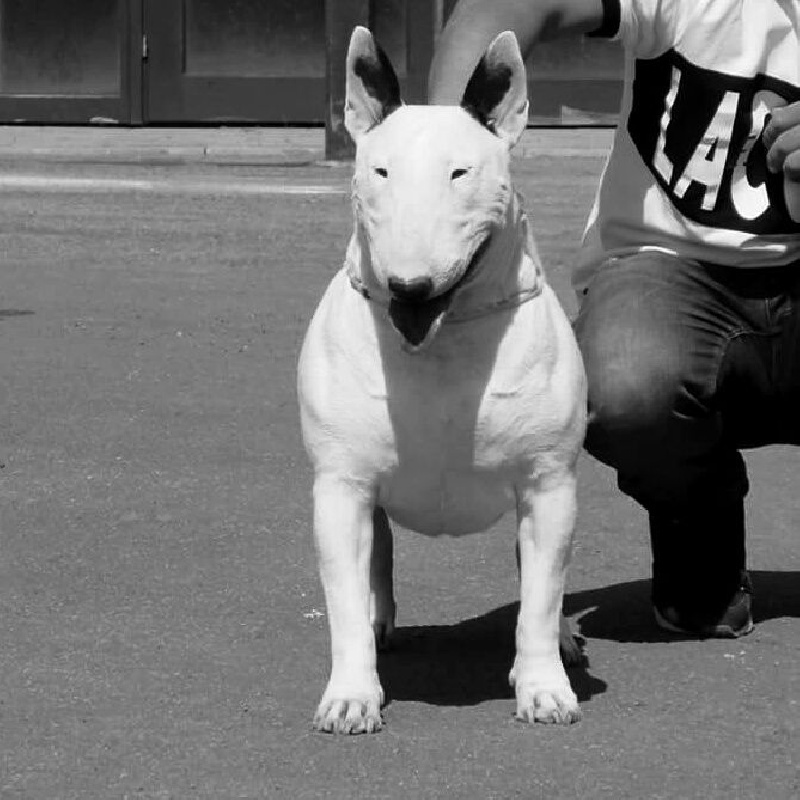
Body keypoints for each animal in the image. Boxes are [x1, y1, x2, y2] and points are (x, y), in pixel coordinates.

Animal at [297, 27, 587, 733]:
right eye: (379, 171)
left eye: (461, 173)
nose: (410, 286)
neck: (441, 340)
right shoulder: (340, 488)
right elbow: (345, 599)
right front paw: (351, 694)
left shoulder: (548, 484)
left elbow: (539, 599)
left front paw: (543, 687)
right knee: (377, 559)